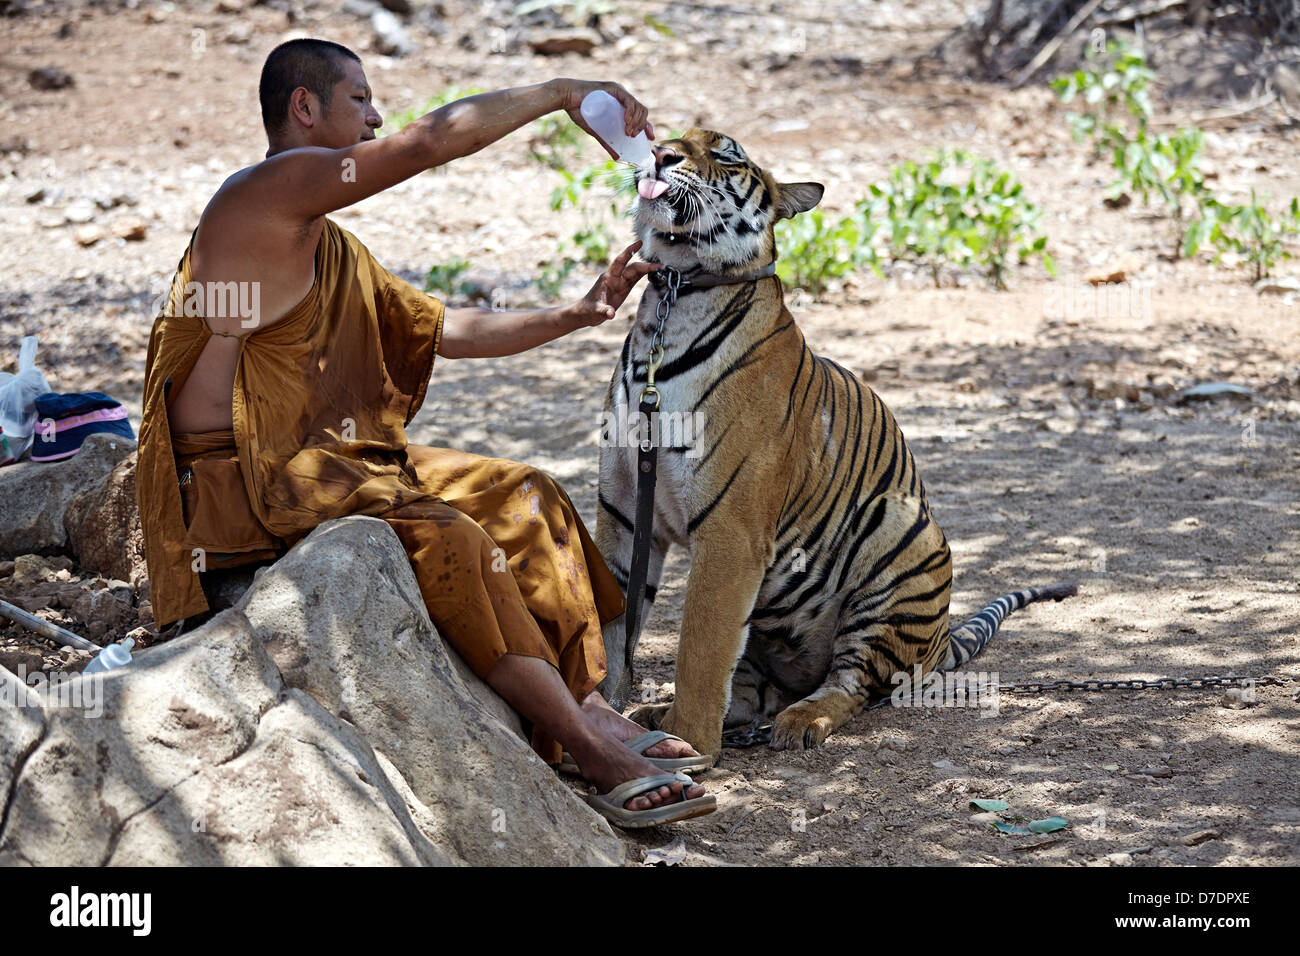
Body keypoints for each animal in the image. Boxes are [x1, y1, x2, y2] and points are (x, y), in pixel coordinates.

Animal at [592, 130, 1076, 764]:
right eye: (669, 136)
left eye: (723, 154)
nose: (659, 155)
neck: (672, 295)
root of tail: (940, 640)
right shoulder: (625, 509)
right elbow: (612, 621)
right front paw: (598, 712)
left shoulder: (731, 531)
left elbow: (701, 643)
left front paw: (688, 742)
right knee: (751, 690)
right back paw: (671, 714)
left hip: (900, 535)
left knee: (854, 684)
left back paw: (800, 721)